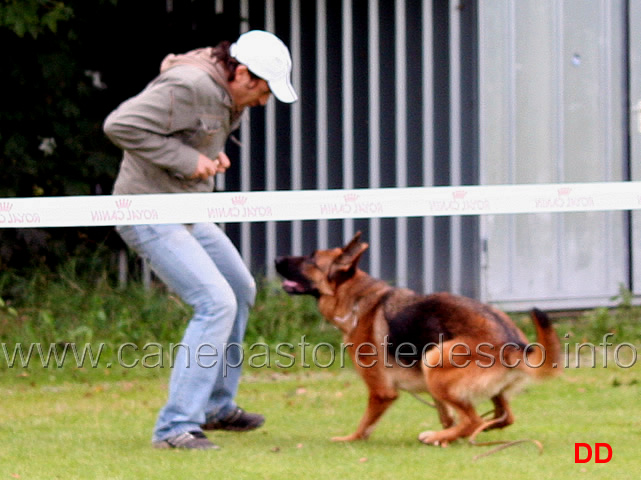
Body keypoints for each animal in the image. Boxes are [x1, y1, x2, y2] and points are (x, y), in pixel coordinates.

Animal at [276, 232, 560, 446]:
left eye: (311, 258)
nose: (277, 257)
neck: (357, 302)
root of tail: (514, 343)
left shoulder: (381, 392)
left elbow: (365, 424)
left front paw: (349, 439)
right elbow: (446, 415)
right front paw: (447, 435)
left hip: (433, 360)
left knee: (474, 420)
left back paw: (441, 435)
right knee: (503, 416)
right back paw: (464, 433)